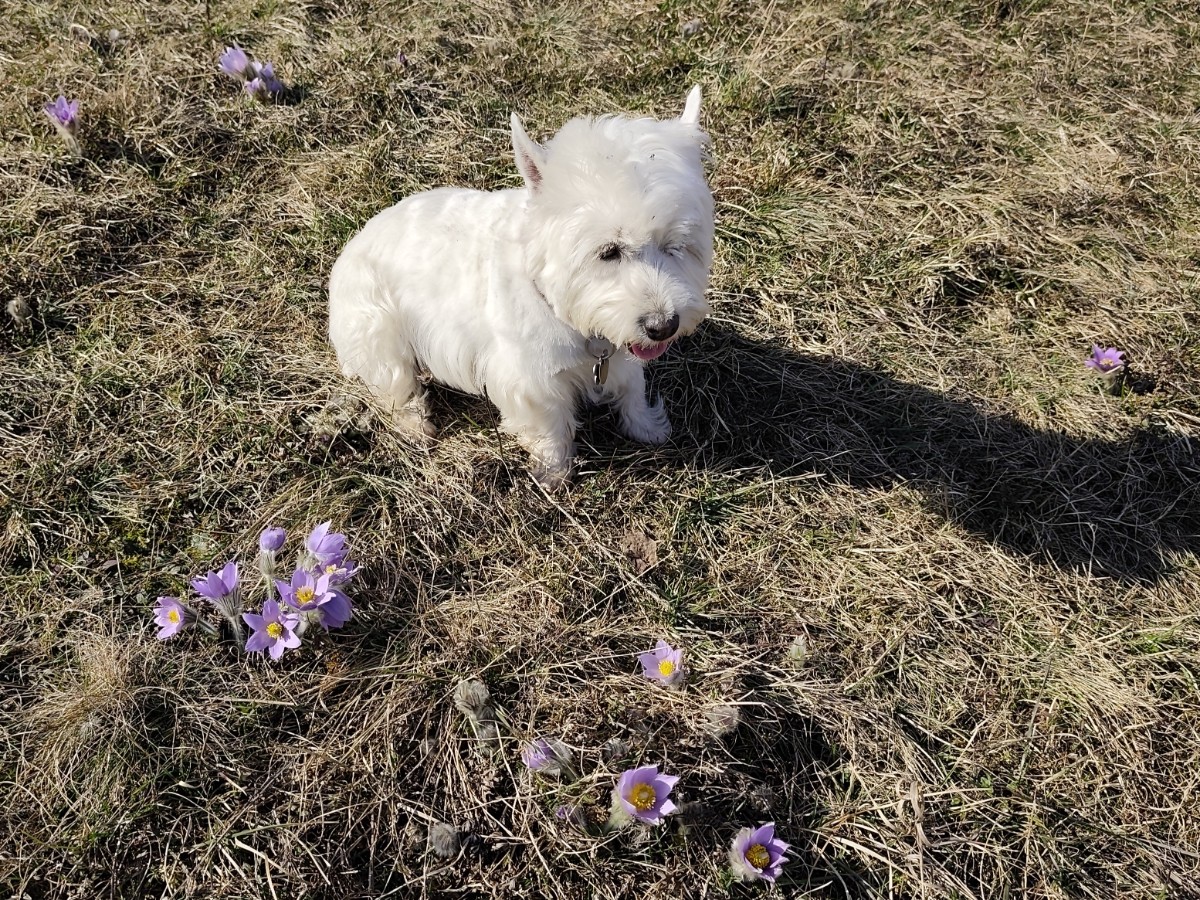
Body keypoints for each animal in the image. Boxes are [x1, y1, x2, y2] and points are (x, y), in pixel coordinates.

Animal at [327, 88, 714, 487]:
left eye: (678, 245)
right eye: (609, 251)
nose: (663, 326)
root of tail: (353, 244)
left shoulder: (620, 352)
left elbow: (632, 388)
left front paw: (647, 427)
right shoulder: (531, 380)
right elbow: (550, 427)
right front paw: (553, 473)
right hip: (376, 330)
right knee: (395, 386)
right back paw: (417, 427)